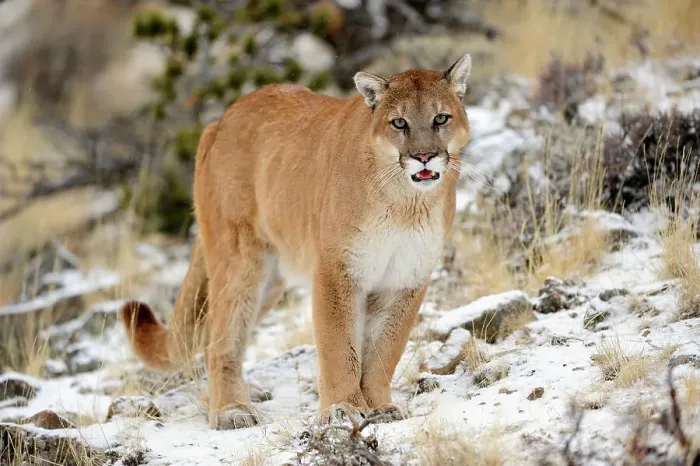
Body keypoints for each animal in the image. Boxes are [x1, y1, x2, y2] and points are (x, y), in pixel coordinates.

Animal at [121, 54, 472, 429]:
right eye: (399, 122)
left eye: (440, 118)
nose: (424, 156)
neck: (406, 204)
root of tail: (219, 121)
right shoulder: (337, 270)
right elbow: (339, 345)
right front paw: (342, 408)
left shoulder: (405, 279)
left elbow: (384, 350)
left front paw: (380, 407)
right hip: (241, 263)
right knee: (221, 340)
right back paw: (232, 411)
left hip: (269, 284)